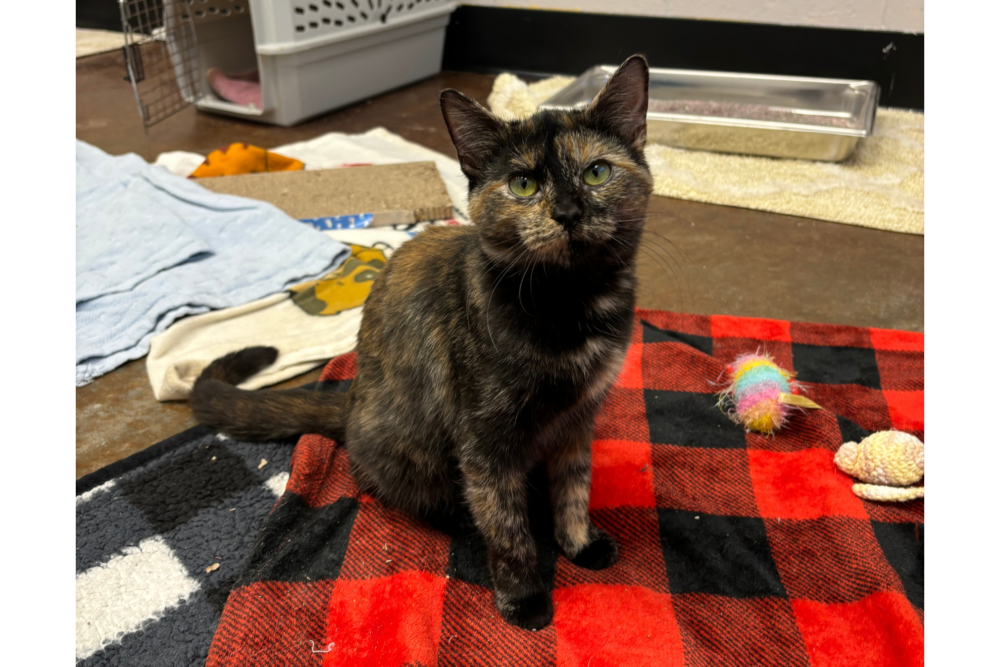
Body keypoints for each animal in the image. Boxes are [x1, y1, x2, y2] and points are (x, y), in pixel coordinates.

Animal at [190, 55, 653, 630]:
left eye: (597, 172)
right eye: (523, 184)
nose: (567, 212)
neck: (570, 304)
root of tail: (350, 404)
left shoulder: (578, 419)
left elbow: (574, 487)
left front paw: (578, 544)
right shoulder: (485, 444)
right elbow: (507, 525)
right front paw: (523, 597)